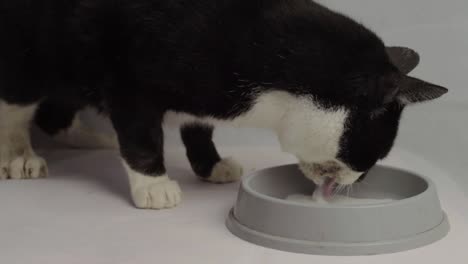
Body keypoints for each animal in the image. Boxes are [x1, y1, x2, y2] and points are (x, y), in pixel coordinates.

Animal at [0, 0, 446, 208]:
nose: (361, 180)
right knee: (17, 103)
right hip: (30, 48)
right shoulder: (129, 82)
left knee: (56, 108)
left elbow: (198, 125)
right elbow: (142, 136)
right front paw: (154, 184)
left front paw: (210, 164)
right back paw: (19, 155)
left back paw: (86, 136)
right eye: (373, 153)